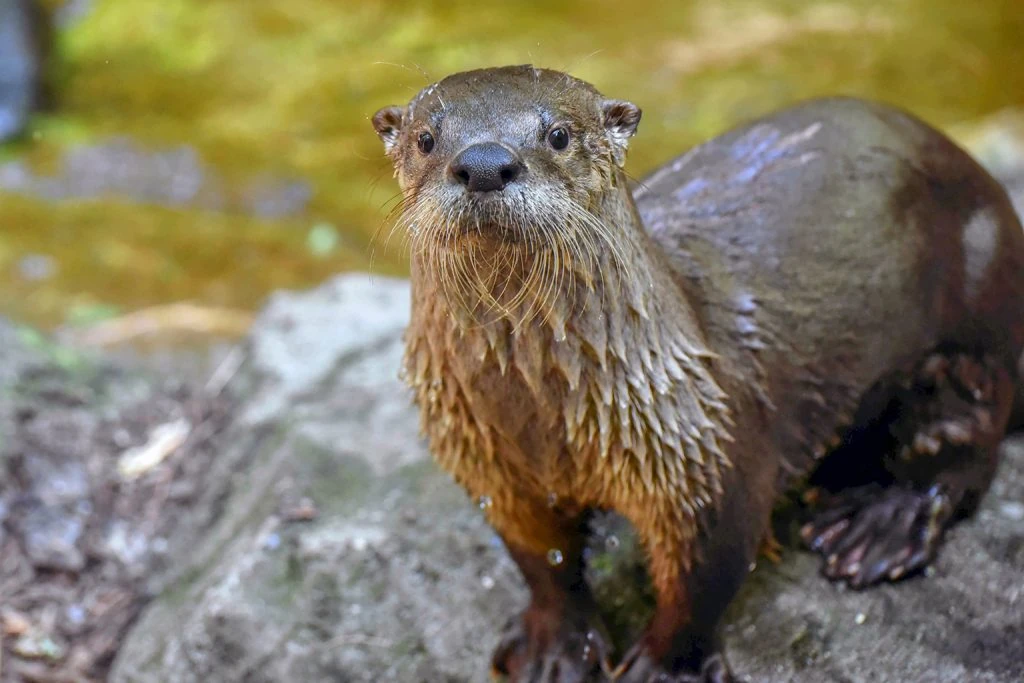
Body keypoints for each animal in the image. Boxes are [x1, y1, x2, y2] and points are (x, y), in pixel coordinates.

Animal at [372, 66, 1024, 682]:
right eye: (427, 138)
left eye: (558, 135)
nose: (484, 164)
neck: (537, 417)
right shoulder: (491, 468)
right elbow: (541, 562)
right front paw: (553, 646)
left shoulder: (705, 449)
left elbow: (702, 579)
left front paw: (665, 668)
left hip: (972, 334)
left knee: (963, 445)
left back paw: (883, 524)